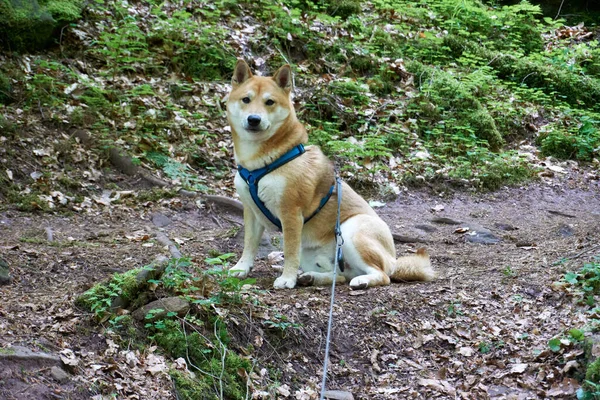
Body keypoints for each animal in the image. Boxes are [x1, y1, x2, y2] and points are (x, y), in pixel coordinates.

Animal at [227, 59, 434, 290]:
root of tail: (393, 259)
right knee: (340, 276)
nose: (254, 119)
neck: (263, 162)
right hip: (313, 251)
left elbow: (289, 252)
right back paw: (311, 277)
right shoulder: (251, 212)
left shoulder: (291, 214)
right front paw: (241, 268)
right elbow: (249, 244)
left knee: (382, 275)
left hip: (351, 230)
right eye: (246, 100)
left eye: (269, 102)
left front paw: (287, 278)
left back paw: (361, 281)